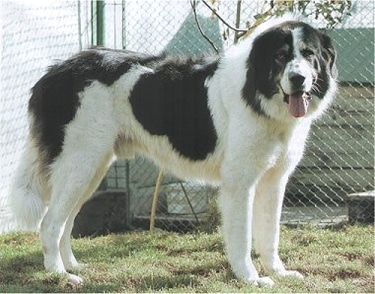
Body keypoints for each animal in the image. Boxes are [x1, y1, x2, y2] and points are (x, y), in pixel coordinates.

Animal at [10, 14, 338, 286]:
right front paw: (250, 278)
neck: (258, 90)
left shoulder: (274, 182)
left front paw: (278, 272)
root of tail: (55, 71)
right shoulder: (240, 184)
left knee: (66, 222)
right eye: (280, 57)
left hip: (90, 169)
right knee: (50, 223)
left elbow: (270, 236)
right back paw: (59, 275)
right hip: (79, 164)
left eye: (309, 54)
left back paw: (72, 266)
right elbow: (243, 238)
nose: (298, 79)